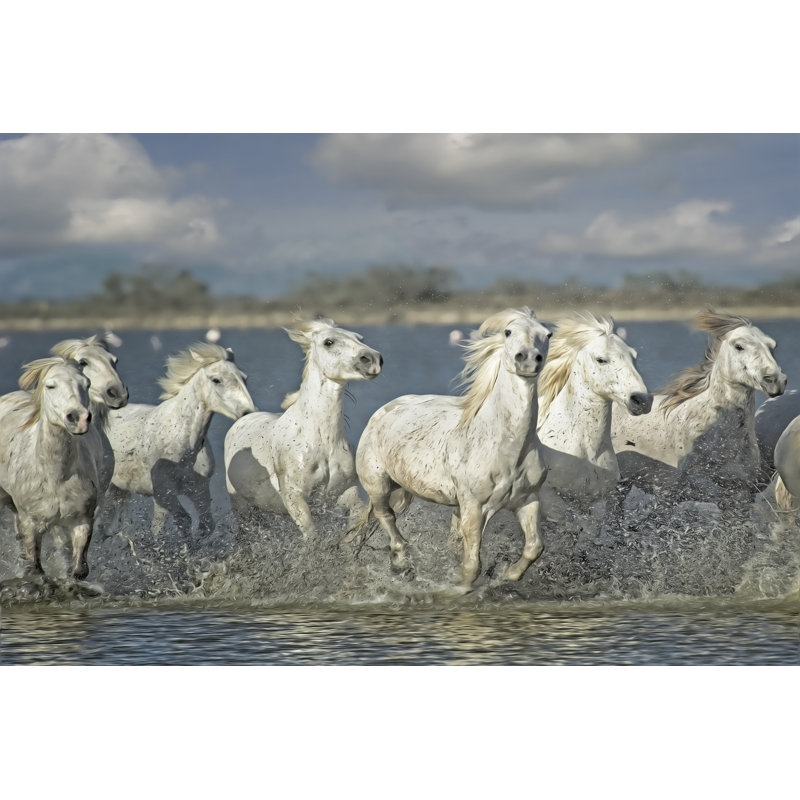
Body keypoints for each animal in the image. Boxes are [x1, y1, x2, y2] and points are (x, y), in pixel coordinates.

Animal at [0, 357, 100, 580]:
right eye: (51, 386)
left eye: (87, 384)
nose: (78, 418)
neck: (56, 475)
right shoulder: (30, 523)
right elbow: (35, 569)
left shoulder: (83, 520)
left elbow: (78, 569)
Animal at [102, 342, 255, 537]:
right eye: (216, 380)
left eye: (244, 377)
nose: (248, 412)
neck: (181, 443)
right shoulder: (164, 494)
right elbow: (171, 524)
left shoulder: (199, 489)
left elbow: (205, 525)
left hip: (118, 489)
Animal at [224, 317, 383, 538]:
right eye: (328, 342)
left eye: (359, 338)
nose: (373, 360)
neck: (321, 440)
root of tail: (243, 418)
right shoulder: (295, 498)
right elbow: (312, 535)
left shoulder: (346, 492)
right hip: (243, 508)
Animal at [348, 307, 551, 592]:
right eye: (508, 331)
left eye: (547, 334)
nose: (529, 359)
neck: (507, 448)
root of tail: (382, 411)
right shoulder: (474, 507)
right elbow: (471, 565)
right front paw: (456, 588)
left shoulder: (527, 500)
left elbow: (534, 547)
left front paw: (507, 574)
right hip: (378, 483)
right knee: (384, 514)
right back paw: (401, 560)